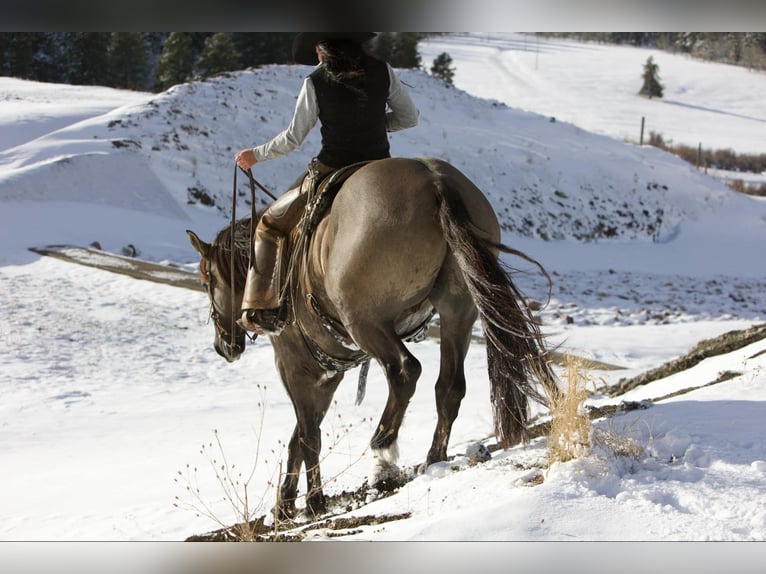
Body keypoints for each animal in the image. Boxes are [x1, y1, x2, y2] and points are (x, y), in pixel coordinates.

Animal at [186, 158, 560, 520]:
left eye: (206, 281)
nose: (224, 346)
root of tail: (435, 180)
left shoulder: (293, 365)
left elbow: (307, 436)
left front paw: (311, 502)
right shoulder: (328, 374)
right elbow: (300, 436)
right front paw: (287, 502)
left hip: (366, 322)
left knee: (406, 370)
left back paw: (383, 448)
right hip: (457, 312)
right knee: (449, 386)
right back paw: (433, 459)